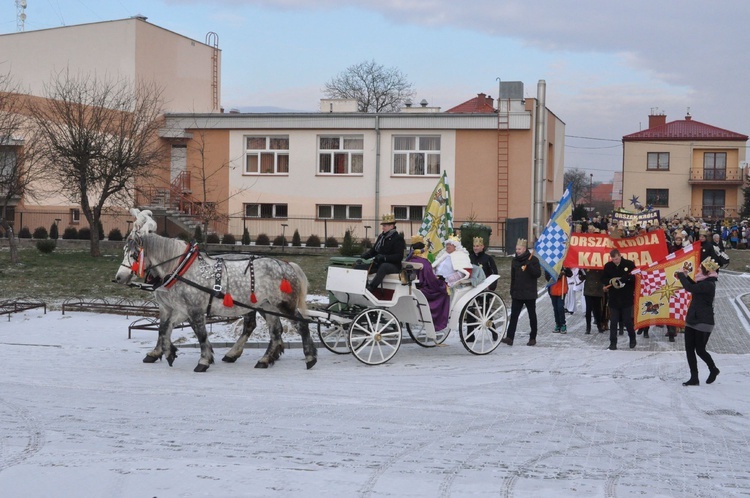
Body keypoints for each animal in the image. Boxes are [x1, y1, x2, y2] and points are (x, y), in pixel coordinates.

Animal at [114, 212, 318, 372]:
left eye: (134, 255)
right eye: (124, 251)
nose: (118, 277)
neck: (180, 268)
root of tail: (286, 265)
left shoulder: (194, 309)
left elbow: (200, 333)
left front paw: (203, 360)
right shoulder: (177, 308)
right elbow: (164, 329)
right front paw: (166, 352)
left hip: (283, 305)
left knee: (301, 325)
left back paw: (309, 357)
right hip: (266, 305)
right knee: (274, 330)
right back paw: (264, 359)